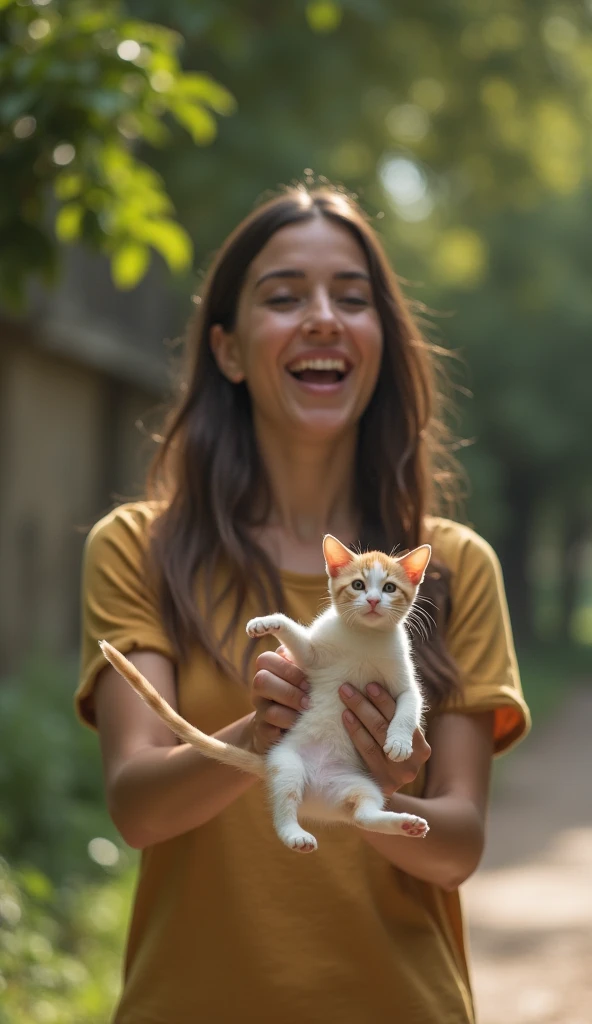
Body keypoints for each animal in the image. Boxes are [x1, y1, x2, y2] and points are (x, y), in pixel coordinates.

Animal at [100, 532, 428, 851]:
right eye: (358, 585)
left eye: (389, 588)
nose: (372, 601)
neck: (363, 634)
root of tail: (317, 797)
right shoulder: (314, 657)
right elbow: (296, 638)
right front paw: (265, 622)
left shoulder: (403, 680)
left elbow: (410, 703)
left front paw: (399, 742)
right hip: (288, 765)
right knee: (284, 810)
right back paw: (295, 835)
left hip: (358, 784)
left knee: (362, 814)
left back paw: (404, 824)